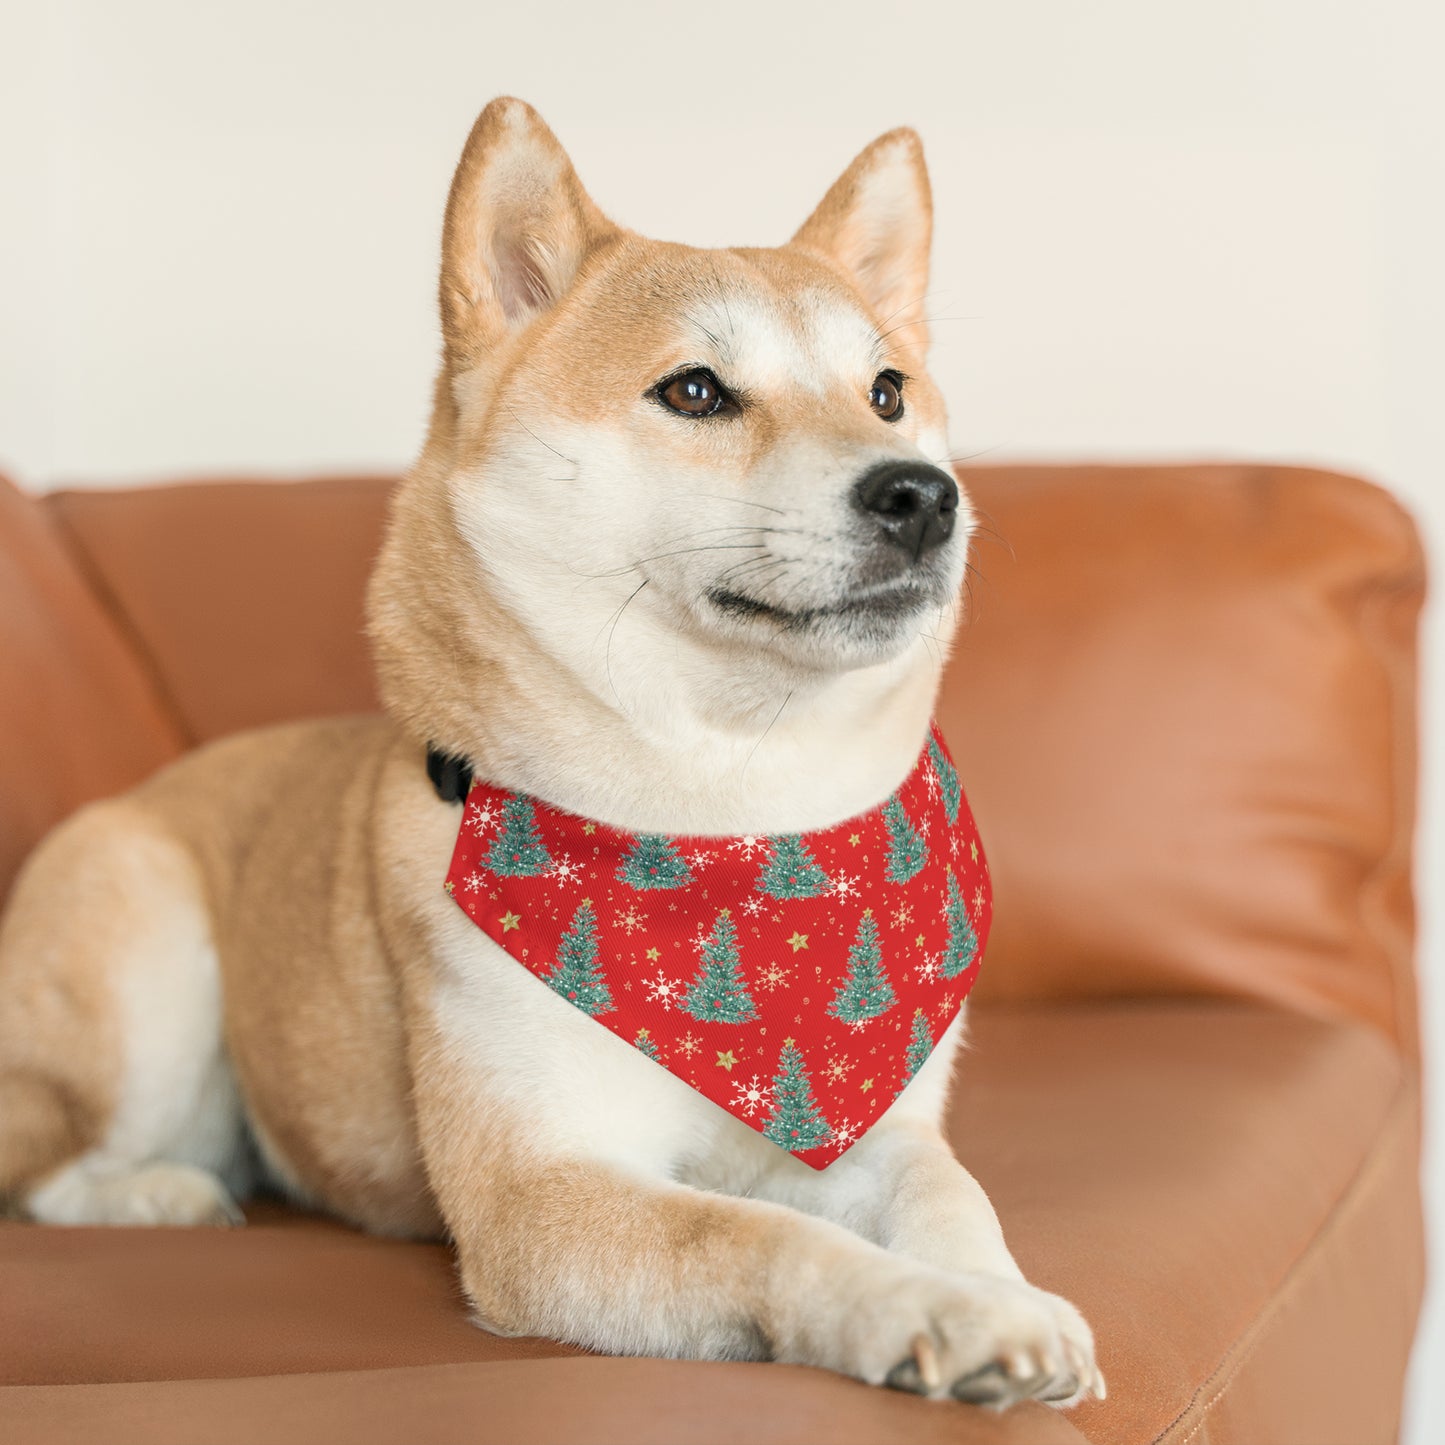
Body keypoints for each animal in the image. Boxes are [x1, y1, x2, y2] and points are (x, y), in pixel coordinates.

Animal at [0, 101, 1098, 1410]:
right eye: (694, 389)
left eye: (886, 390)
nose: (923, 495)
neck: (728, 812)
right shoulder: (541, 1195)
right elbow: (763, 1235)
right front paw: (929, 1309)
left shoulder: (876, 1124)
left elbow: (949, 1194)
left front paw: (999, 1293)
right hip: (145, 961)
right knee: (49, 1167)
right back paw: (162, 1191)